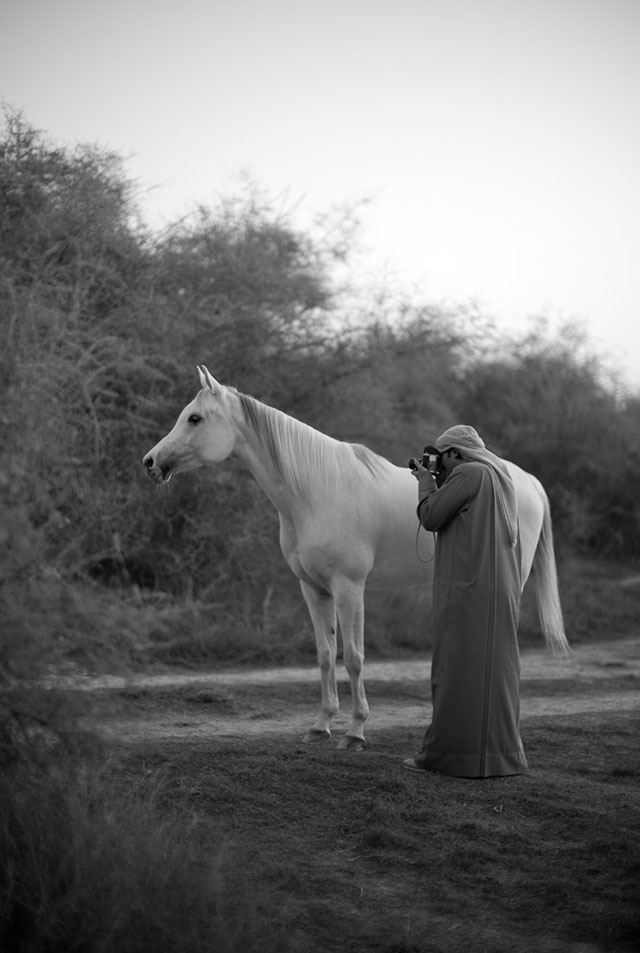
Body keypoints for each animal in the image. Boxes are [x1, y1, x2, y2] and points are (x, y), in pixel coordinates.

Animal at [142, 368, 568, 748]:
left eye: (194, 418)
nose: (150, 462)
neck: (315, 491)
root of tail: (527, 481)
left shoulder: (349, 589)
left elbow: (354, 658)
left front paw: (356, 732)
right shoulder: (314, 589)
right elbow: (326, 654)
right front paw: (321, 726)